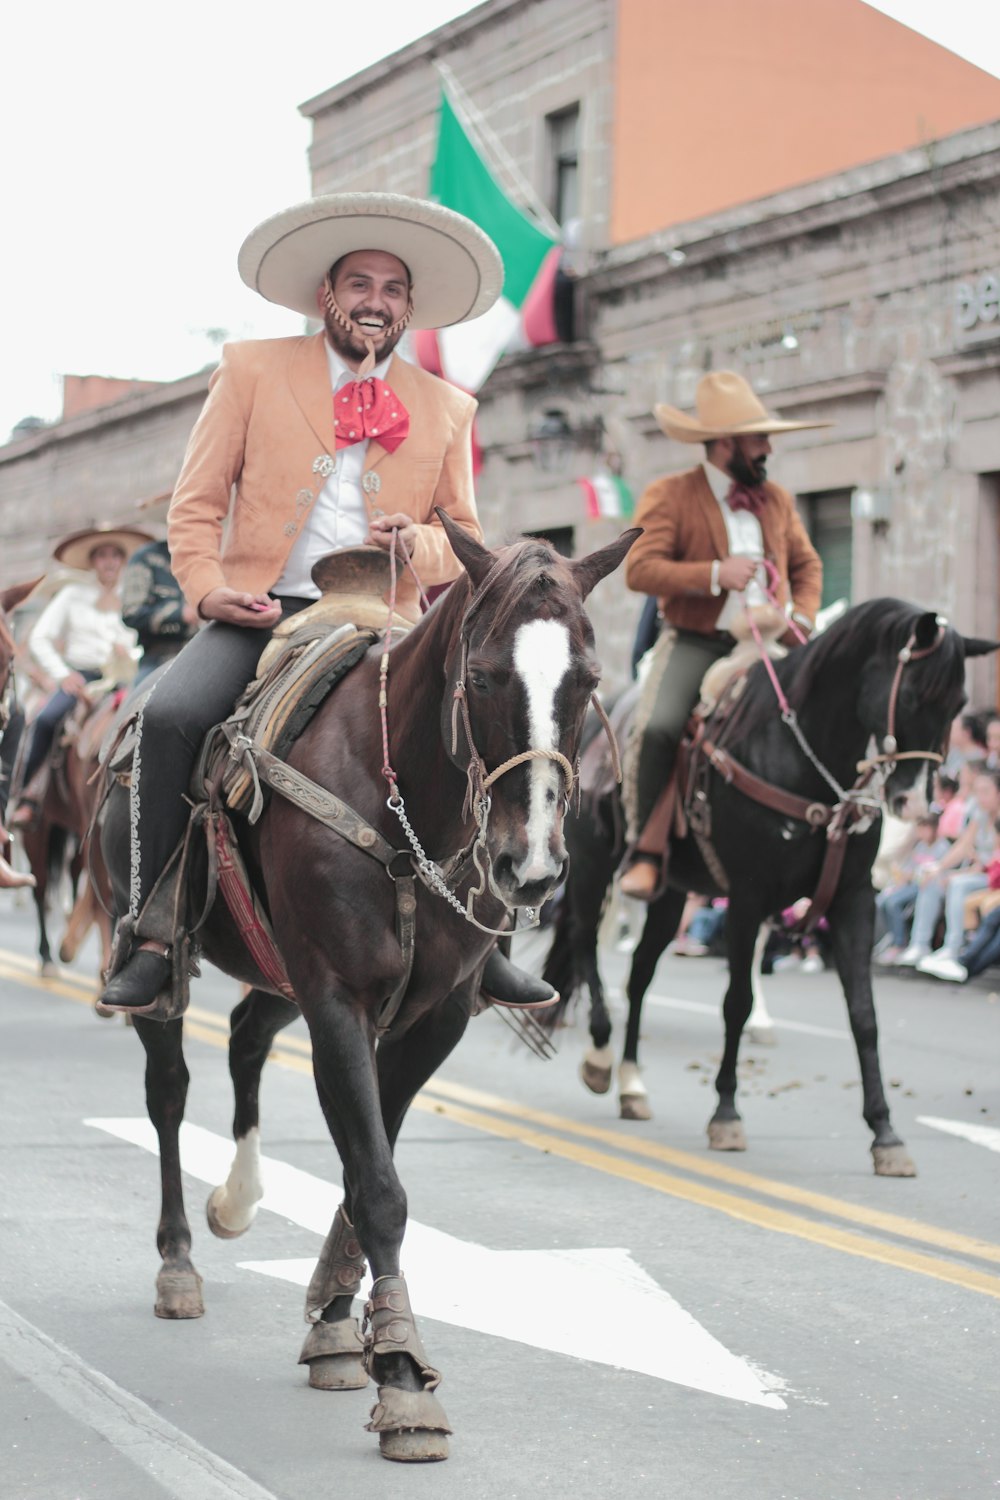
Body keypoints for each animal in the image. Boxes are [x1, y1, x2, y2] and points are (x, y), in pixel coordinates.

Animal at [97, 519, 638, 1464]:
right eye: (482, 675)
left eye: (588, 679)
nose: (530, 868)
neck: (405, 804)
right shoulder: (338, 1000)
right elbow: (377, 1185)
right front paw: (404, 1383)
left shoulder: (434, 1017)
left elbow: (366, 1165)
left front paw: (339, 1325)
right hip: (170, 970)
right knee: (168, 1092)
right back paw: (179, 1261)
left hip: (276, 976)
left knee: (246, 1037)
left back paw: (239, 1199)